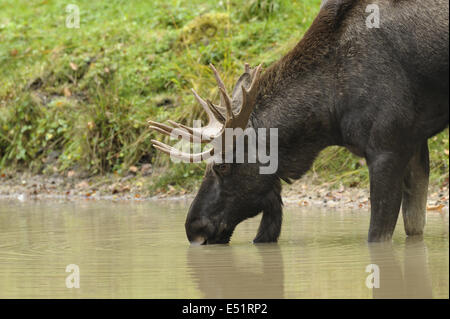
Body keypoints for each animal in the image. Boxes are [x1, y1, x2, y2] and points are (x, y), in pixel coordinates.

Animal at [149, 0, 448, 245]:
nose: (193, 228)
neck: (331, 112)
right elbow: (415, 227)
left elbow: (377, 236)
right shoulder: (416, 141)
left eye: (222, 165)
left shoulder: (388, 147)